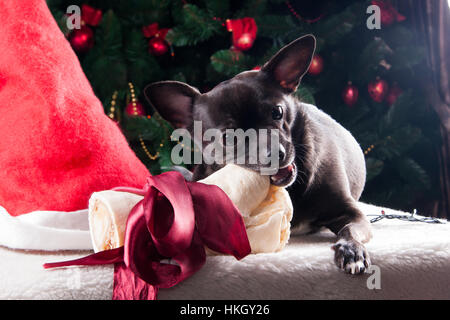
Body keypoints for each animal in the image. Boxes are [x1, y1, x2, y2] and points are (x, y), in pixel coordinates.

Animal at [144, 35, 372, 276]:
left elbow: (349, 230)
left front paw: (351, 250)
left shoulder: (352, 213)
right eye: (228, 137)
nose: (275, 154)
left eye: (277, 112)